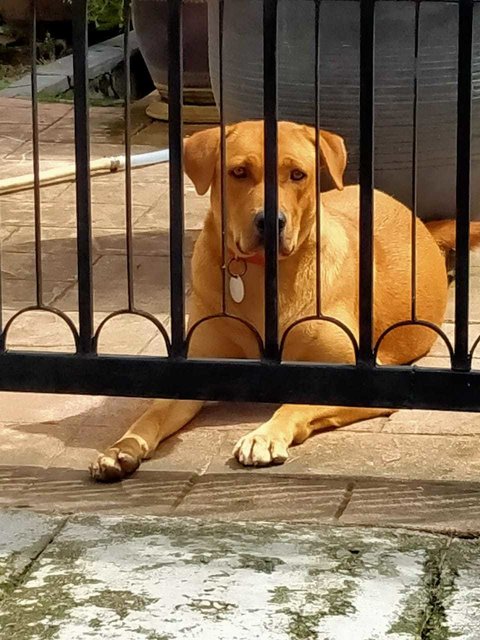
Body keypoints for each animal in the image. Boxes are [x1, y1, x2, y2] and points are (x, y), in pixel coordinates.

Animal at [91, 120, 480, 482]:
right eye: (238, 172)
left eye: (297, 174)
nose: (270, 221)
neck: (263, 276)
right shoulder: (195, 365)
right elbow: (153, 412)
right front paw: (122, 447)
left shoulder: (360, 374)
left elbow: (297, 402)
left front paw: (264, 436)